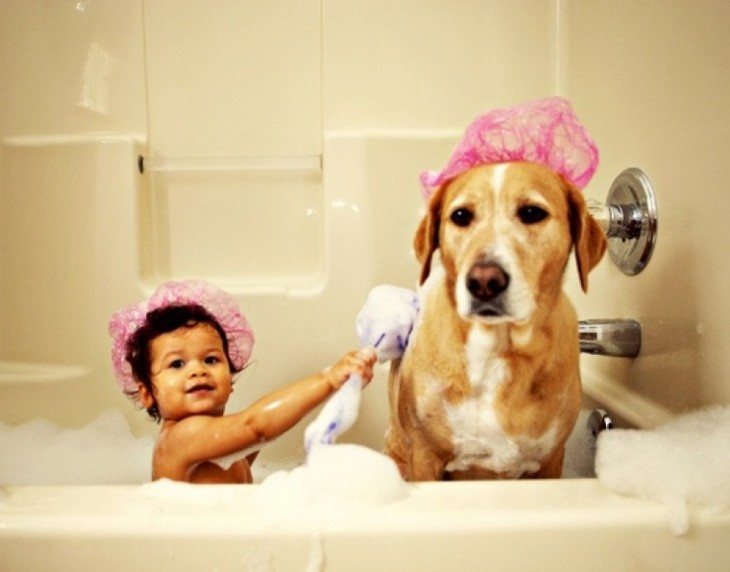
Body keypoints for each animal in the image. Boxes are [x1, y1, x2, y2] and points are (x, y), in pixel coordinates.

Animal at [384, 162, 604, 482]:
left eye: (532, 212)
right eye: (461, 216)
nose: (484, 281)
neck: (499, 351)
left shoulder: (550, 462)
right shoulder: (425, 457)